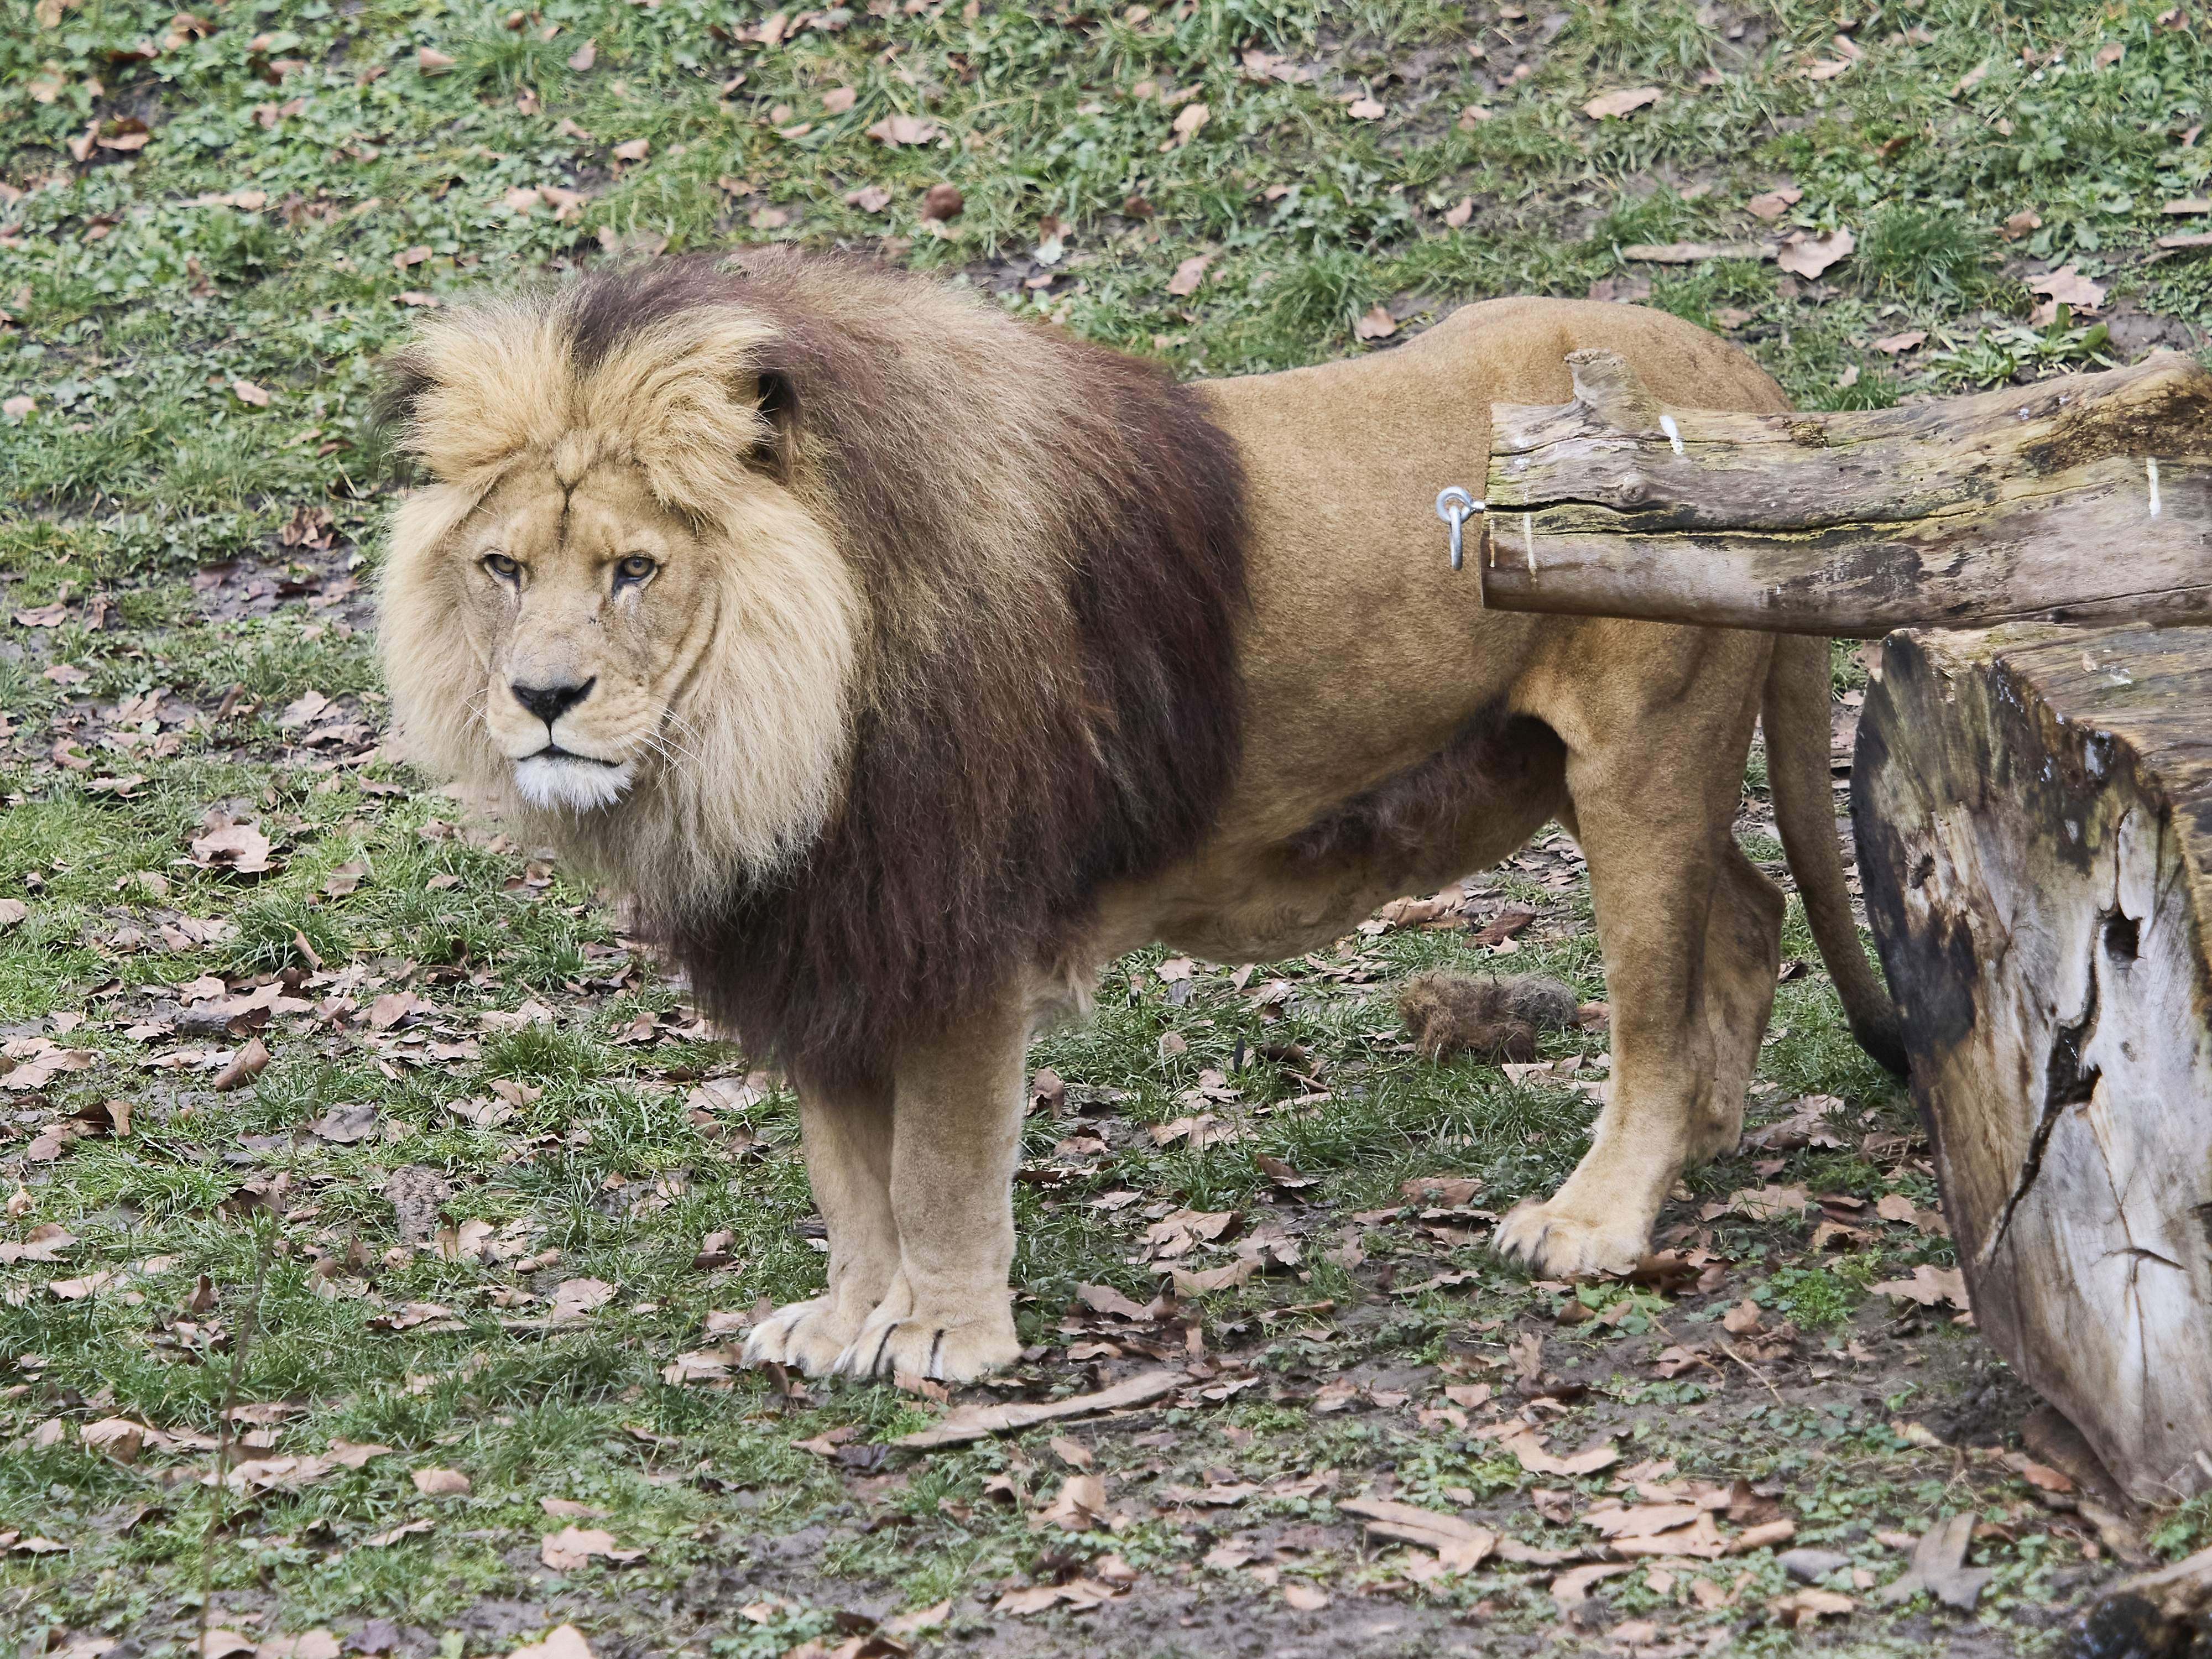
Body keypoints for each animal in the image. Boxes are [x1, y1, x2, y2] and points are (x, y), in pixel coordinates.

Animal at [378, 251, 1902, 1383]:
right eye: (502, 566)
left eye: (635, 569)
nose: (542, 698)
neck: (768, 724)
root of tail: (1739, 373)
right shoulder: (827, 924)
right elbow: (845, 1171)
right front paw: (846, 1320)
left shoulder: (950, 923)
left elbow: (934, 1163)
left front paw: (941, 1337)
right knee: (1749, 907)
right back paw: (1708, 1137)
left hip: (1642, 752)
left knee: (1653, 1002)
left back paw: (1596, 1216)